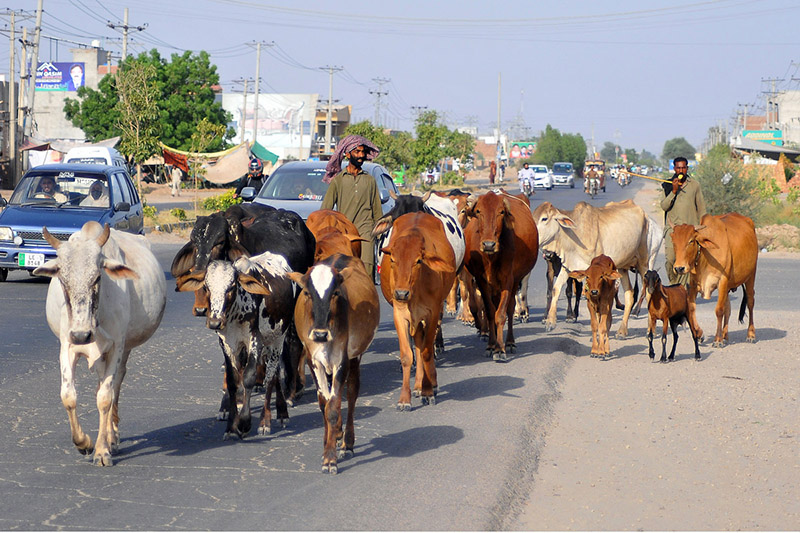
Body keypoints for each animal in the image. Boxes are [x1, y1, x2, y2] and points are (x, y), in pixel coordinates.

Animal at [380, 211, 456, 408]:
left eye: (418, 261)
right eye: (393, 259)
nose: (401, 293)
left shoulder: (432, 314)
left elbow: (427, 352)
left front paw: (428, 391)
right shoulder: (400, 315)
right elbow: (408, 355)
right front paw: (404, 399)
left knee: (424, 347)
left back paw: (430, 384)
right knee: (418, 345)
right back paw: (417, 386)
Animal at [462, 189, 536, 360]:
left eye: (501, 212)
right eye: (478, 211)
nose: (489, 244)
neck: (491, 258)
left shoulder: (507, 280)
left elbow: (501, 314)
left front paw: (500, 349)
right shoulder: (481, 281)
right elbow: (490, 312)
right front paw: (491, 345)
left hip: (515, 280)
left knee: (510, 308)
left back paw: (510, 342)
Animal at [668, 212, 756, 344]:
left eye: (691, 241)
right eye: (673, 241)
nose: (679, 268)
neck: (705, 256)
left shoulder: (723, 281)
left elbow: (719, 310)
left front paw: (717, 340)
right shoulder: (694, 284)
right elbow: (692, 307)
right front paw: (699, 333)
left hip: (751, 276)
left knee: (750, 302)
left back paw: (750, 334)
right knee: (728, 308)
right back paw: (725, 335)